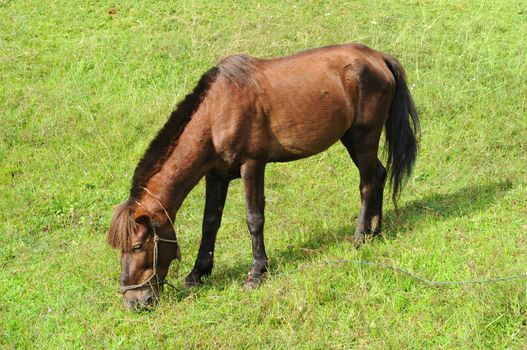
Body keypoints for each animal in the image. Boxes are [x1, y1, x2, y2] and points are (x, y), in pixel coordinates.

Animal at [108, 43, 420, 308]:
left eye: (137, 246)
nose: (134, 302)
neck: (217, 111)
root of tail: (378, 58)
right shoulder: (216, 176)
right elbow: (210, 223)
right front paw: (198, 273)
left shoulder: (253, 165)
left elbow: (254, 219)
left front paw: (257, 271)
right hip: (351, 139)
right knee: (378, 176)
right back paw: (375, 231)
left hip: (363, 137)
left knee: (367, 184)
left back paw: (359, 237)